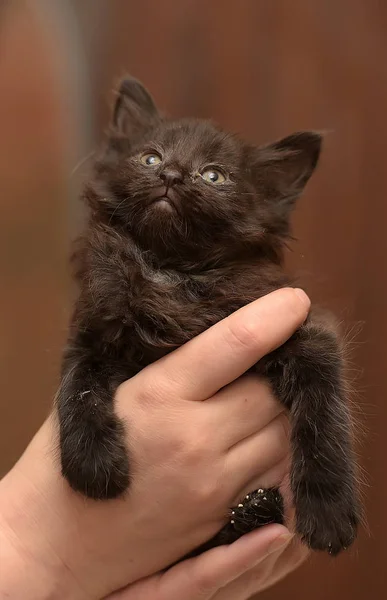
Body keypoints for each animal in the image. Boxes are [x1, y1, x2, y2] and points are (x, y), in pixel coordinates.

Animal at [56, 77, 362, 556]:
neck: (170, 271)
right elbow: (76, 388)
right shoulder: (89, 335)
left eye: (213, 175)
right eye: (150, 157)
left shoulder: (307, 331)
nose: (171, 175)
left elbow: (325, 416)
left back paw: (255, 509)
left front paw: (329, 512)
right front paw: (92, 466)